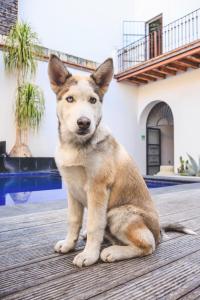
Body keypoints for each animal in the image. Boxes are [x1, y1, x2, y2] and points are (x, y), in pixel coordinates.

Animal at [48, 54, 195, 268]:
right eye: (69, 99)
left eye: (93, 100)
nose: (84, 123)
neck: (76, 146)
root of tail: (158, 231)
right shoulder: (71, 189)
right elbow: (73, 221)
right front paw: (69, 244)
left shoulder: (98, 188)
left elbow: (94, 225)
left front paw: (89, 255)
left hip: (118, 213)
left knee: (148, 244)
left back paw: (113, 252)